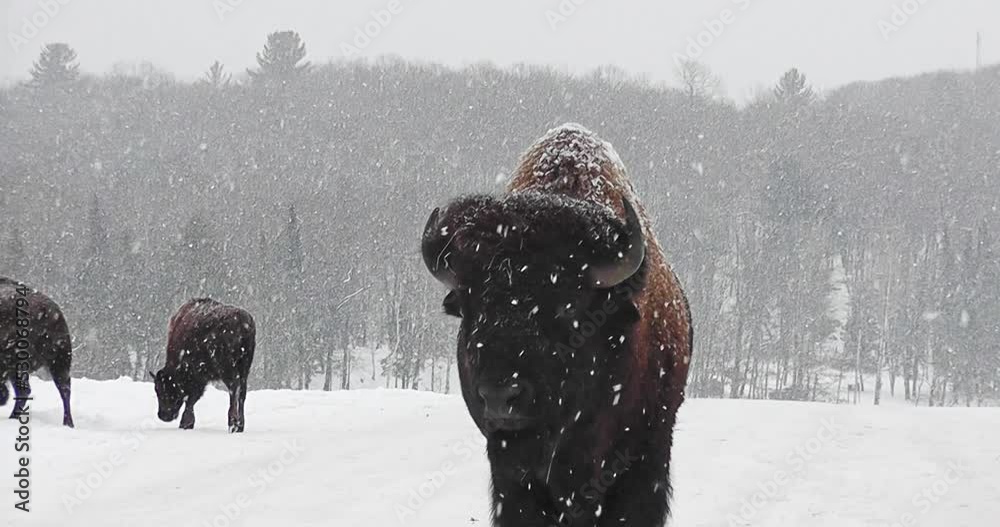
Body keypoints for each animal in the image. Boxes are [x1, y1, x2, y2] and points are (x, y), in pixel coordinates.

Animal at [152, 298, 255, 433]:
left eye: (161, 389)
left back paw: (232, 424)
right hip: (244, 369)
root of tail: (243, 323)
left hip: (228, 370)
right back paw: (240, 426)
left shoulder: (198, 376)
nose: (163, 416)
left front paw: (185, 424)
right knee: (242, 393)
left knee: (234, 390)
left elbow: (191, 399)